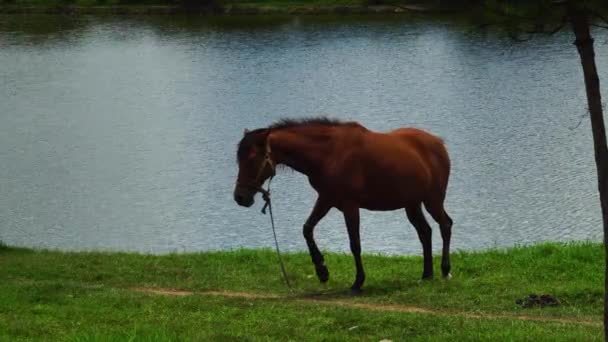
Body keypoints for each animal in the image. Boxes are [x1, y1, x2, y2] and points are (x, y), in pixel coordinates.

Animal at [233, 118, 452, 294]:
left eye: (252, 158)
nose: (240, 197)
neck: (329, 153)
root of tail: (438, 144)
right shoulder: (326, 199)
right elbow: (307, 229)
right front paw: (322, 270)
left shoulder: (350, 205)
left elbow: (355, 244)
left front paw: (358, 282)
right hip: (412, 204)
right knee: (425, 232)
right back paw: (427, 275)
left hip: (433, 200)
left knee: (445, 225)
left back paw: (445, 270)